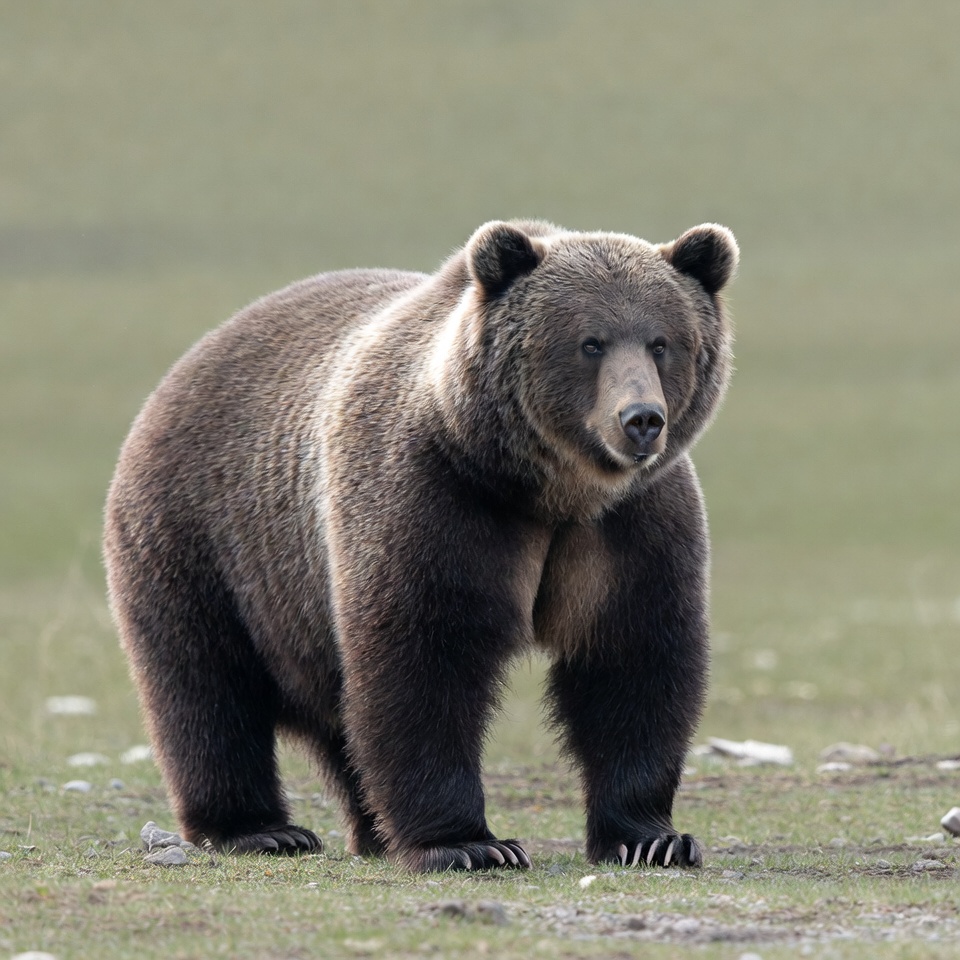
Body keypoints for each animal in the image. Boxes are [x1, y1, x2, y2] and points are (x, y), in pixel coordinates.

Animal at [103, 219, 738, 872]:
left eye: (662, 342)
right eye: (590, 342)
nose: (641, 419)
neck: (550, 494)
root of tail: (187, 363)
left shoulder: (630, 524)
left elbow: (633, 658)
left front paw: (653, 837)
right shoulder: (434, 496)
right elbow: (424, 657)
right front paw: (469, 844)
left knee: (333, 715)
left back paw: (370, 832)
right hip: (204, 538)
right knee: (206, 690)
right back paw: (259, 829)